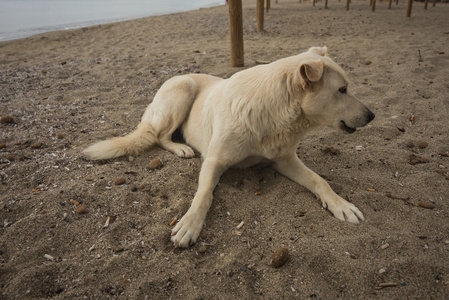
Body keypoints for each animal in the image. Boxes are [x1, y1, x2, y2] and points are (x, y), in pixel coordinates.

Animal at [85, 47, 374, 247]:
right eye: (342, 90)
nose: (372, 115)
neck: (275, 112)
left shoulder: (284, 160)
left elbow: (319, 181)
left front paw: (341, 205)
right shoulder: (214, 161)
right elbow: (204, 195)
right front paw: (190, 225)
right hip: (183, 88)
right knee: (160, 136)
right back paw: (181, 148)